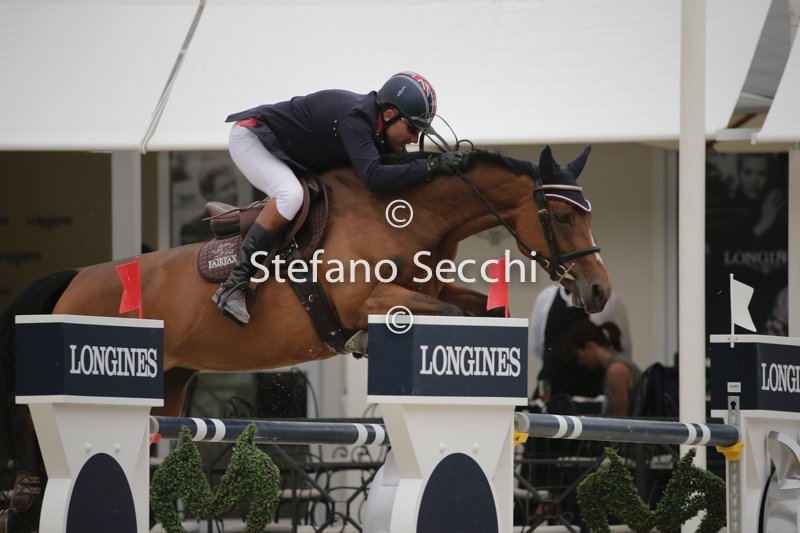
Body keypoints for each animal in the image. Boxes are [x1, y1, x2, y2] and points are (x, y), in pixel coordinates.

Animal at [0, 145, 610, 532]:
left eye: (587, 214)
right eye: (561, 216)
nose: (599, 290)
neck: (408, 215)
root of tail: (78, 276)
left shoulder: (429, 287)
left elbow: (477, 305)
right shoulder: (369, 301)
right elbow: (435, 314)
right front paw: (366, 344)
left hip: (166, 389)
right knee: (36, 421)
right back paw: (24, 493)